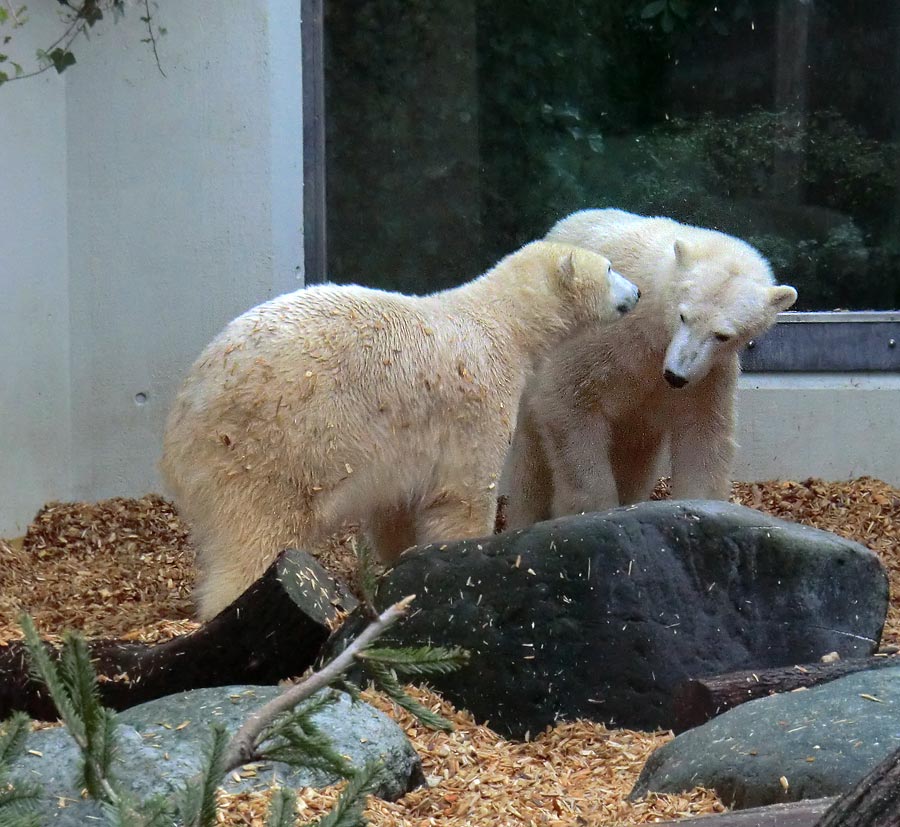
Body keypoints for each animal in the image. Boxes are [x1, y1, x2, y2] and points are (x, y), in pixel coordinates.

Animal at [163, 239, 640, 620]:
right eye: (610, 268)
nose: (637, 291)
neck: (502, 321)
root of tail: (186, 410)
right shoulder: (477, 403)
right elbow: (463, 494)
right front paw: (466, 554)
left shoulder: (401, 444)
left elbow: (394, 507)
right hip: (268, 446)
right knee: (256, 533)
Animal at [502, 209, 800, 532]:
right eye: (684, 316)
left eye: (723, 335)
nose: (675, 375)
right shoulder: (605, 340)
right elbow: (569, 405)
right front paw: (595, 512)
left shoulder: (708, 374)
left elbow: (703, 435)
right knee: (532, 465)